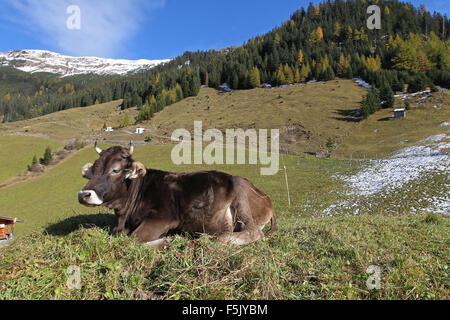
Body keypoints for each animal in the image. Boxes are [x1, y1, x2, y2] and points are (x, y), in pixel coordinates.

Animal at [78, 141, 274, 249]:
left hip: (241, 196)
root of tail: (266, 197)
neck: (124, 215)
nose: (84, 194)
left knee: (253, 233)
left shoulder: (164, 218)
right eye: (94, 169)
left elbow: (133, 239)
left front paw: (167, 240)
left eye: (115, 170)